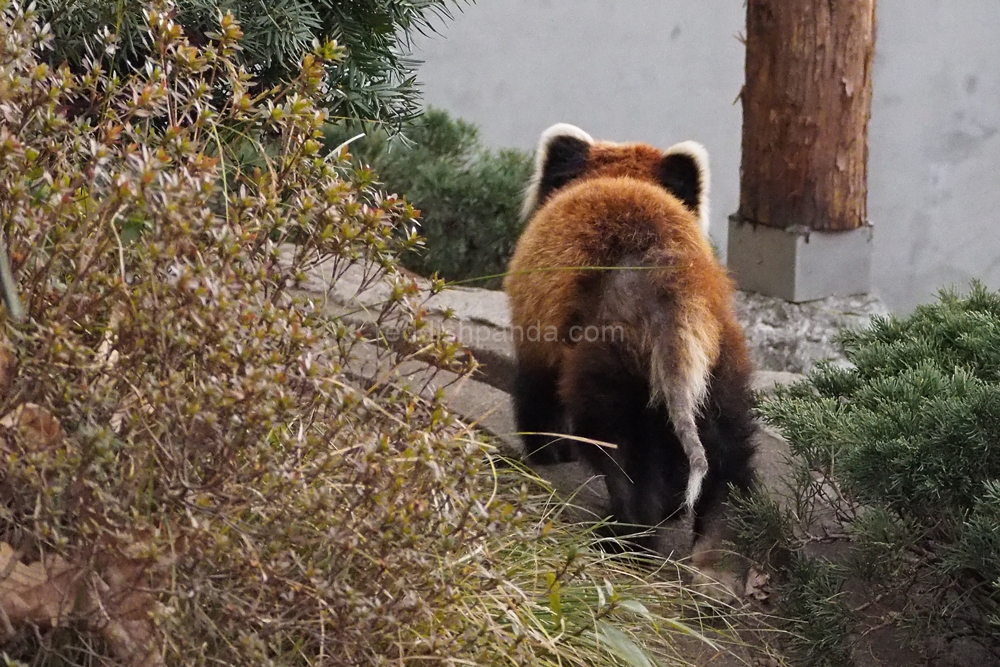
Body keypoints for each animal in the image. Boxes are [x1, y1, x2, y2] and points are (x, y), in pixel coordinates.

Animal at [508, 125, 756, 584]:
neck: (623, 177)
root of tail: (672, 287)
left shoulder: (537, 320)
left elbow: (535, 390)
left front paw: (546, 452)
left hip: (610, 354)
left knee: (620, 448)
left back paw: (624, 537)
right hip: (721, 356)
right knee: (729, 453)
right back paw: (719, 555)